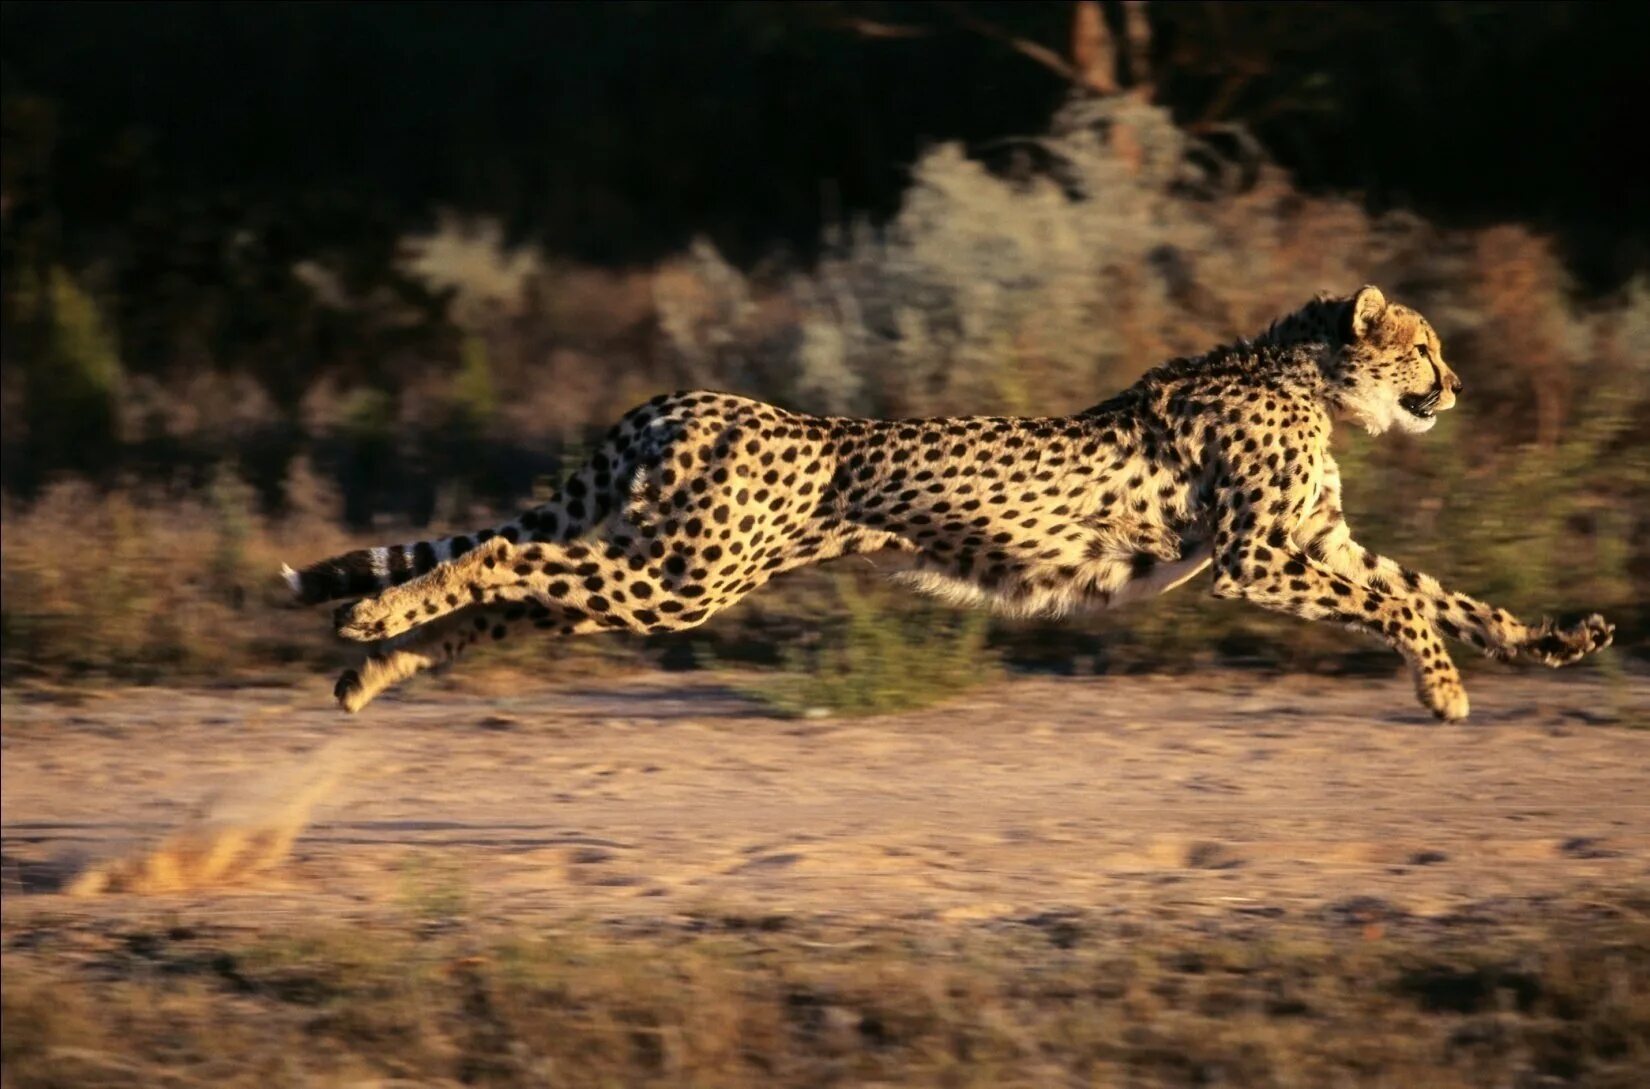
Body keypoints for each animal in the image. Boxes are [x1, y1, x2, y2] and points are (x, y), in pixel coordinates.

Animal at [283, 285, 1610, 719]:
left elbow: (1441, 592)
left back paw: (370, 667)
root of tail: (687, 396)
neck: (1300, 373)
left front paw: (1556, 639)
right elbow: (1410, 608)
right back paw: (369, 621)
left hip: (659, 570)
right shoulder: (1255, 561)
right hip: (683, 578)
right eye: (1423, 346)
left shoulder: (1320, 542)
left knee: (514, 593)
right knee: (502, 557)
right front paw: (1442, 691)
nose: (1457, 387)